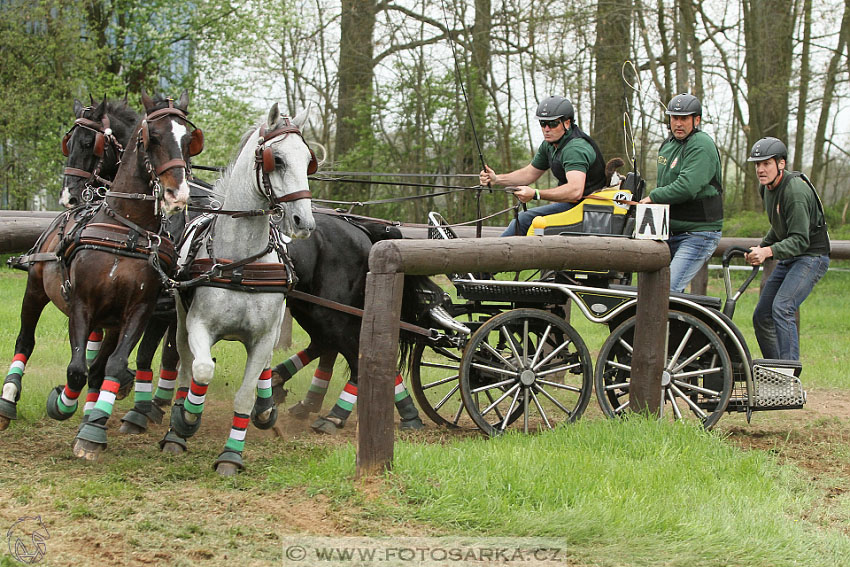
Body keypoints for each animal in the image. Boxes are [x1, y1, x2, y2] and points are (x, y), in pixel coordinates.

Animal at [0, 90, 201, 462]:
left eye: (187, 140)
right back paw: (8, 401)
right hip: (35, 290)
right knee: (25, 341)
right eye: (153, 137)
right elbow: (77, 368)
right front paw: (64, 403)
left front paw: (93, 428)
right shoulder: (82, 305)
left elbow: (110, 366)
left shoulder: (137, 311)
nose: (177, 193)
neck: (126, 229)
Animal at [162, 104, 314, 478]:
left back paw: (266, 406)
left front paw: (231, 455)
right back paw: (177, 429)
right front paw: (186, 419)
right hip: (181, 319)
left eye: (308, 160)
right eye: (278, 160)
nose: (304, 221)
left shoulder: (263, 336)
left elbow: (245, 395)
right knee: (186, 365)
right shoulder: (198, 326)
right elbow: (202, 370)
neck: (242, 262)